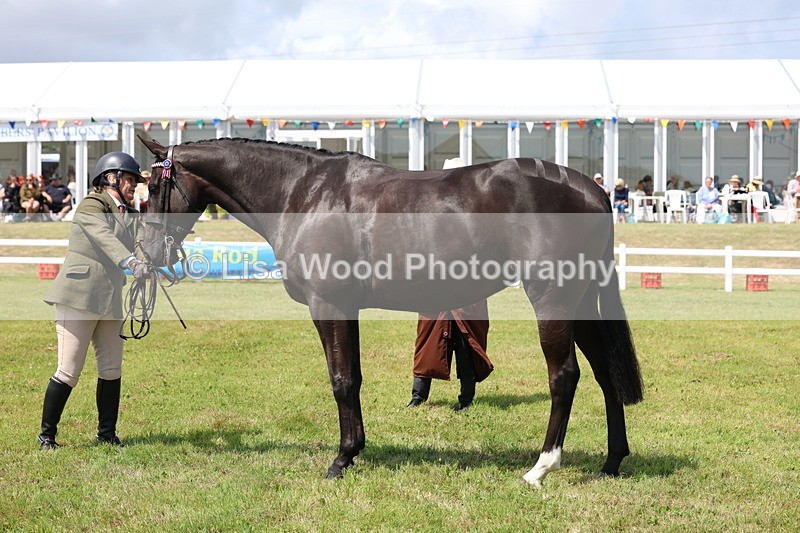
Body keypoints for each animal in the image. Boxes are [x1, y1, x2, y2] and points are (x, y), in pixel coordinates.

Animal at [138, 137, 644, 488]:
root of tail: (593, 191)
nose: (147, 252)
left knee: (565, 376)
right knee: (605, 375)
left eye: (151, 188)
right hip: (581, 304)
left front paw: (341, 460)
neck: (303, 193)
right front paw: (355, 450)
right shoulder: (347, 308)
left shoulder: (328, 305)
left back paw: (541, 467)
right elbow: (354, 378)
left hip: (553, 299)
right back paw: (612, 461)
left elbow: (341, 380)